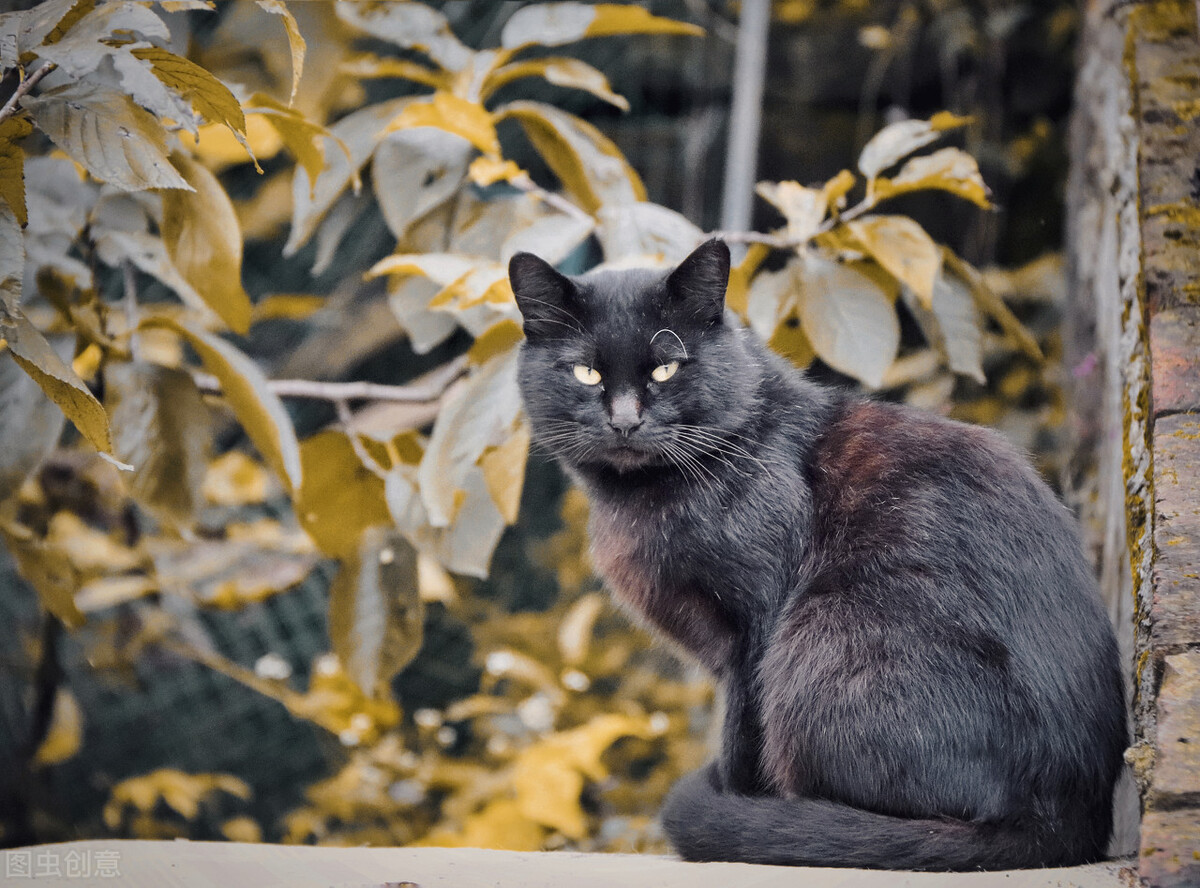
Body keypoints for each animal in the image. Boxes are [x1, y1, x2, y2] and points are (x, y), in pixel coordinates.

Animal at [506, 238, 1123, 868]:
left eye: (666, 367)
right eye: (586, 372)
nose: (625, 421)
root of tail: (1061, 820)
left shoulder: (753, 629)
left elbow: (740, 735)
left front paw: (738, 809)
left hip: (820, 638)